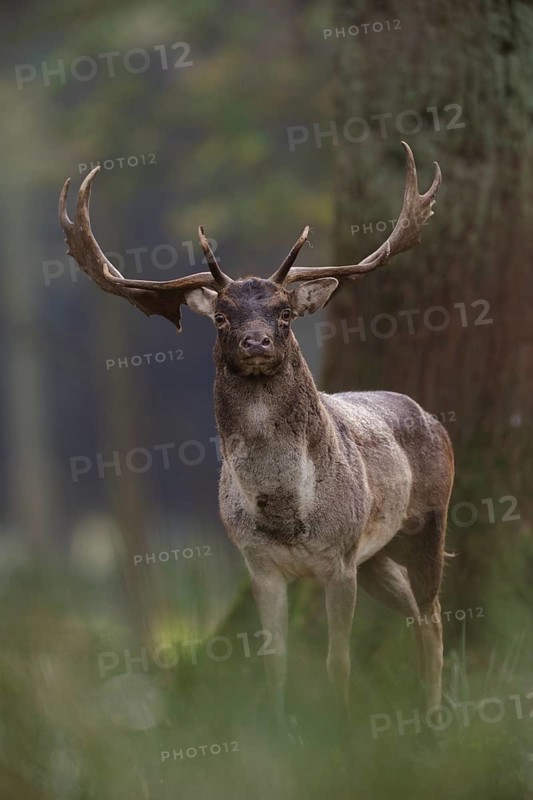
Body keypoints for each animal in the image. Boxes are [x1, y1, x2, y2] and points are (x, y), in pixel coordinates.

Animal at [59, 142, 454, 729]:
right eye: (222, 317)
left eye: (285, 312)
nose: (256, 342)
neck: (286, 511)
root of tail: (431, 417)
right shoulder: (259, 565)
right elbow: (275, 661)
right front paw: (283, 728)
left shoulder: (339, 558)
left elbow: (338, 659)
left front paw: (340, 727)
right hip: (377, 555)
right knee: (414, 612)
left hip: (429, 518)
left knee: (432, 615)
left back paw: (435, 718)